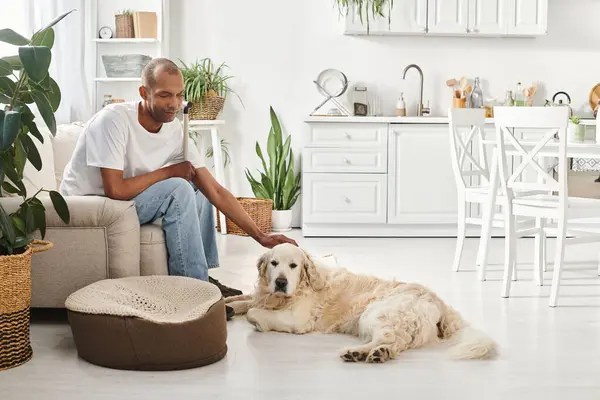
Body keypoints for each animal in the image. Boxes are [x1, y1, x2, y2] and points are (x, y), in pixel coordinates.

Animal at [226, 242, 496, 364]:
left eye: (293, 265)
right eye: (274, 263)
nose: (281, 282)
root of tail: (438, 301)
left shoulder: (297, 319)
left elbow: (253, 313)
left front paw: (256, 320)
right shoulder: (263, 294)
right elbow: (244, 300)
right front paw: (228, 304)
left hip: (375, 313)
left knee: (390, 339)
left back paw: (362, 353)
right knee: (395, 343)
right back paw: (373, 354)